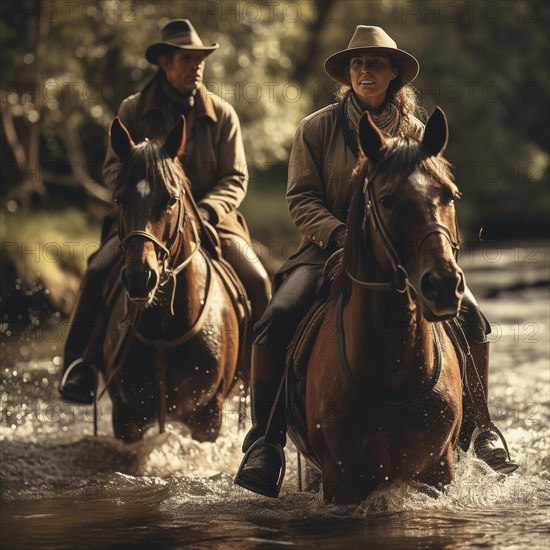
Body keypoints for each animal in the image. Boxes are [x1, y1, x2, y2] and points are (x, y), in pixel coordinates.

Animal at [98, 116, 246, 444]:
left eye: (171, 199)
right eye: (119, 198)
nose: (140, 277)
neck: (163, 331)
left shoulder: (207, 418)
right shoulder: (127, 418)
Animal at [294, 108, 466, 504]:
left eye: (449, 195)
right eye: (387, 201)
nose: (443, 285)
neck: (394, 378)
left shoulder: (439, 472)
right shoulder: (340, 482)